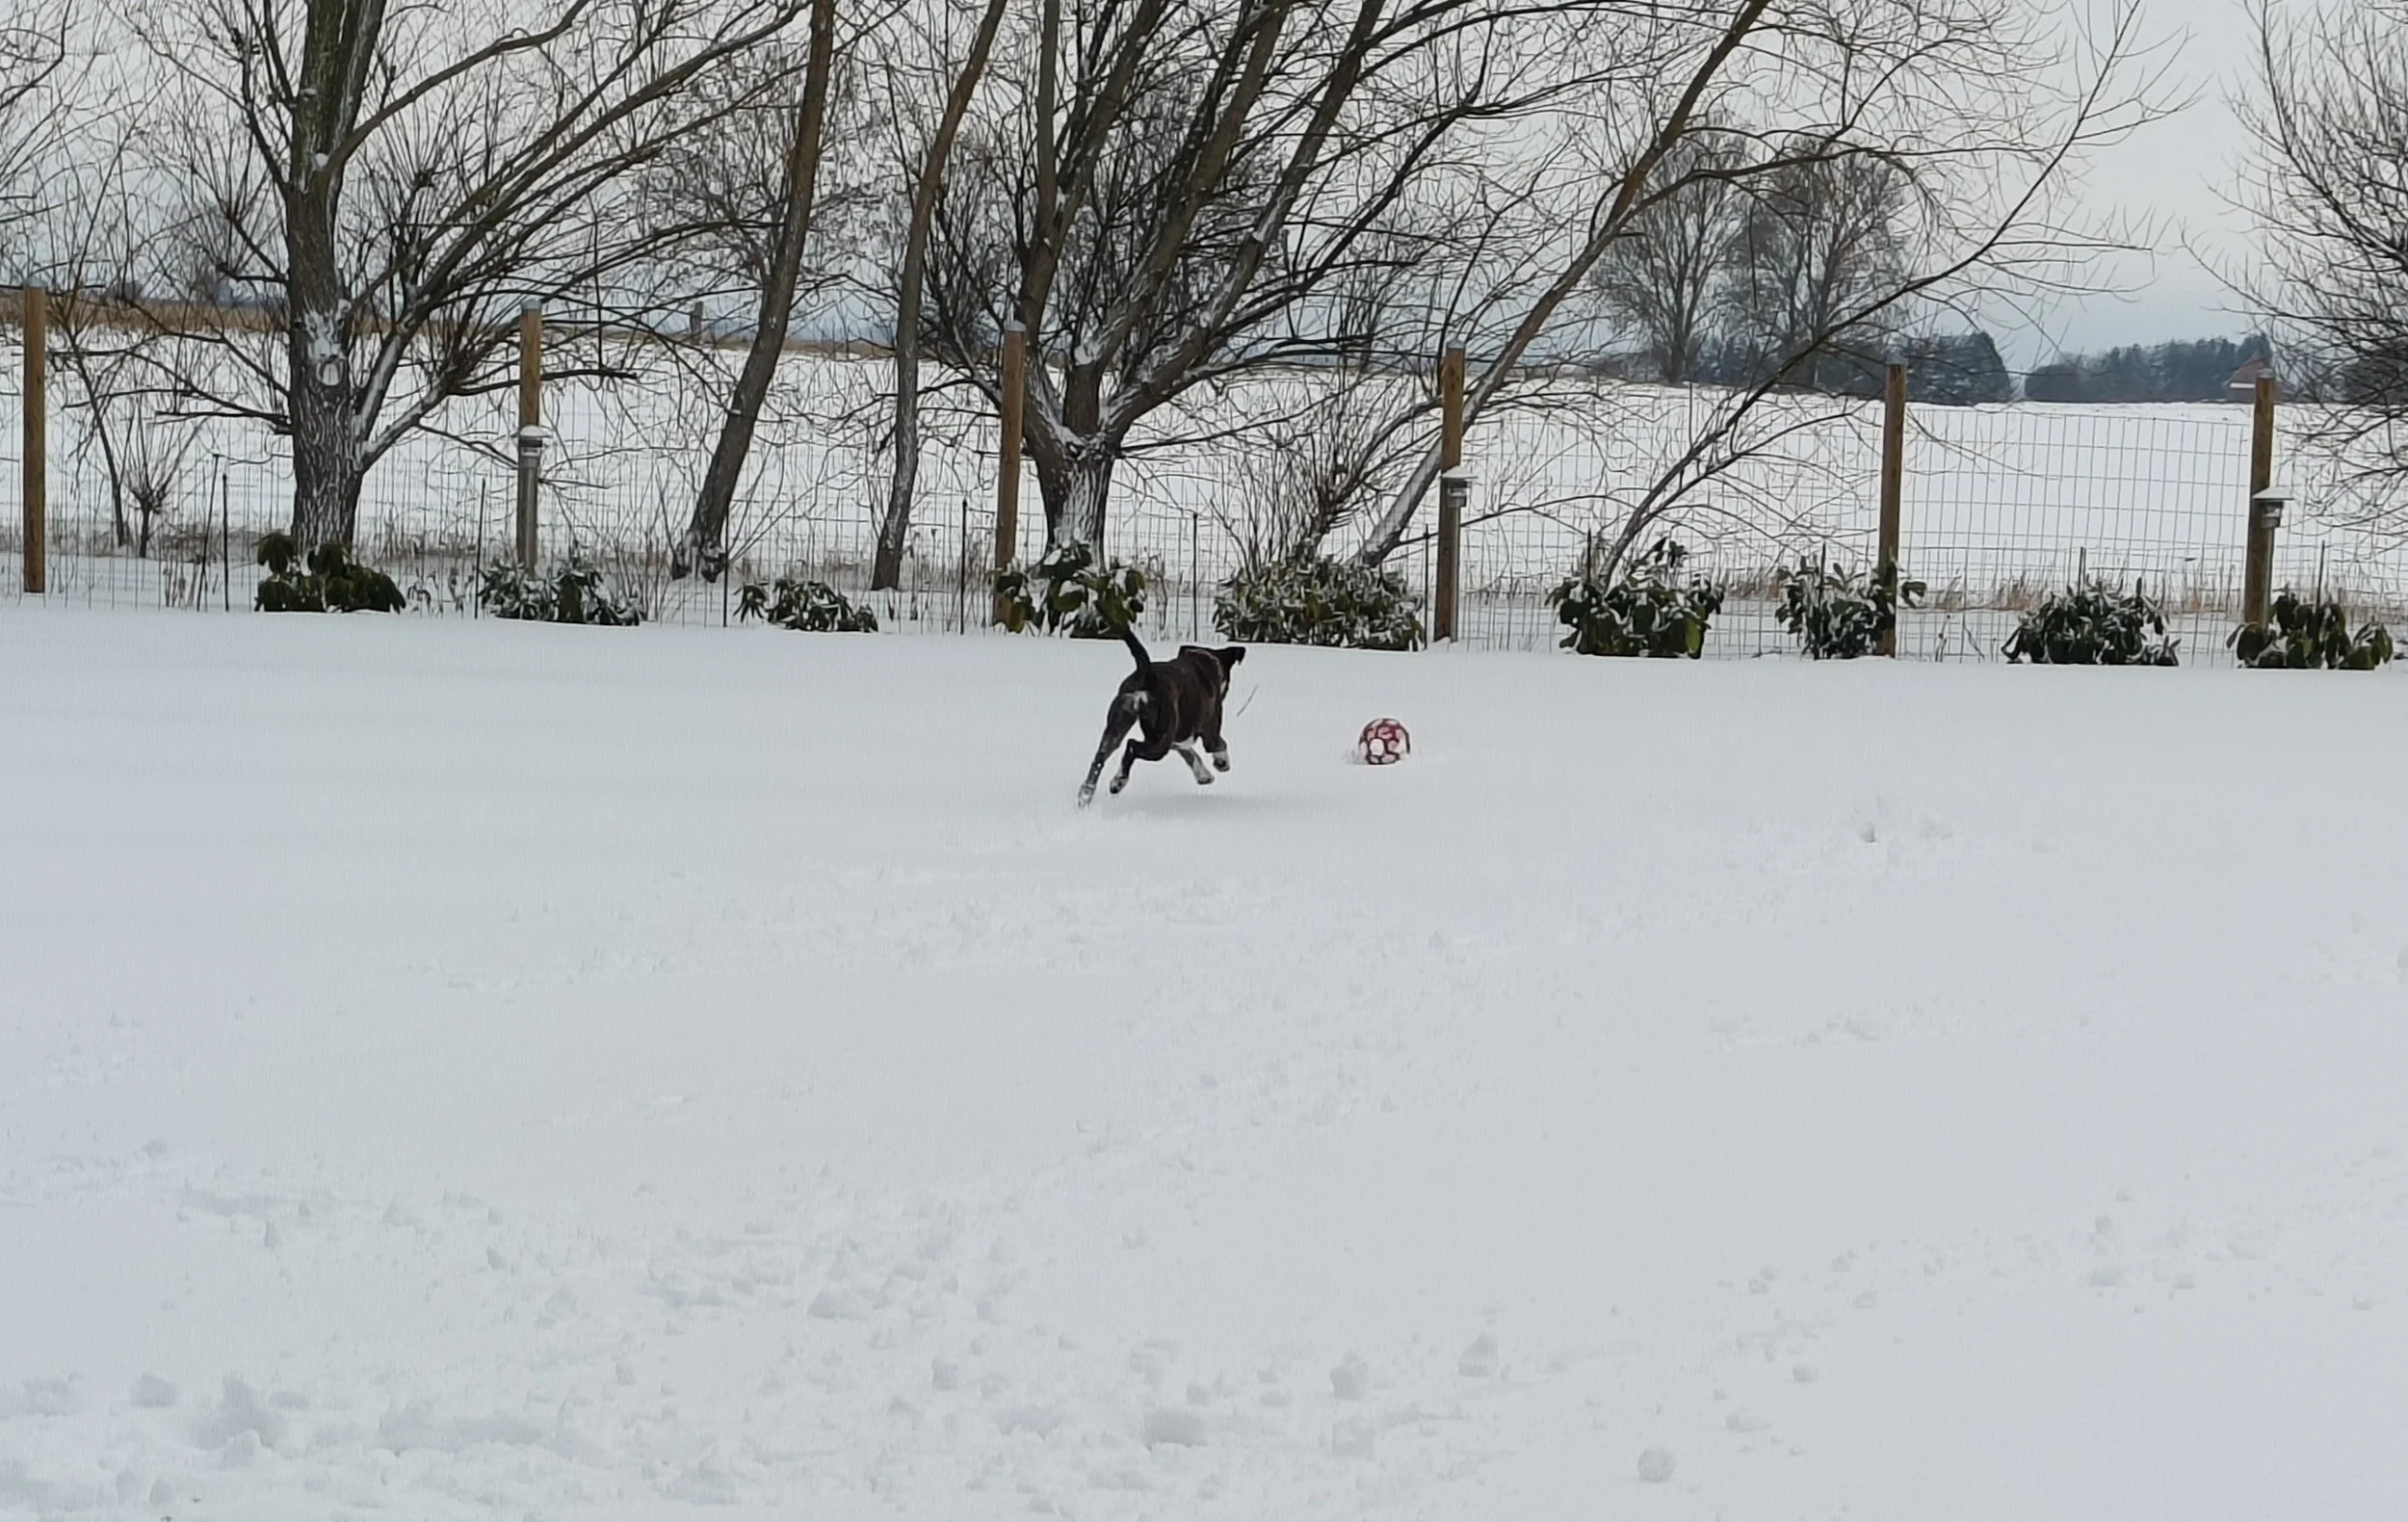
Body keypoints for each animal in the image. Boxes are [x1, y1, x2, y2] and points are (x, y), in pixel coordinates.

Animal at [1077, 628, 1245, 805]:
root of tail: (1146, 674)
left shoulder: (1178, 738)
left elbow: (1190, 754)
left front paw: (1204, 775)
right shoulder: (1209, 732)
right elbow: (1220, 744)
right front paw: (1222, 762)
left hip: (1118, 726)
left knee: (1099, 758)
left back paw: (1086, 794)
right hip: (1160, 740)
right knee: (1132, 745)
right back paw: (1118, 781)